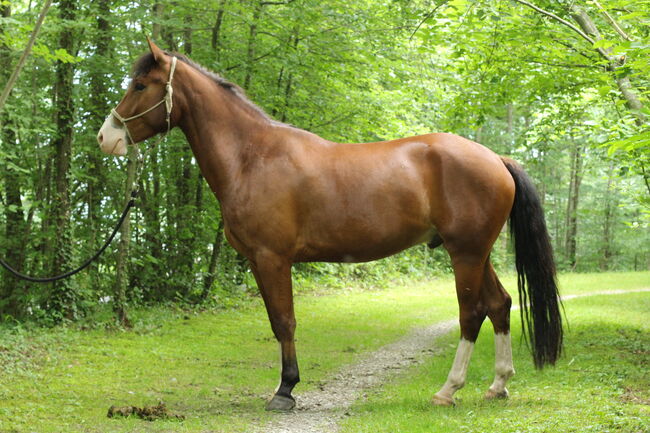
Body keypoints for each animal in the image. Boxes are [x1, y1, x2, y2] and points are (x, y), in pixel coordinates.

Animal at [97, 39, 560, 408]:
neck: (252, 156)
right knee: (499, 305)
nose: (106, 137)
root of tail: (496, 158)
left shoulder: (273, 258)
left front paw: (285, 390)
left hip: (465, 253)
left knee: (472, 313)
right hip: (475, 253)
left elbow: (284, 321)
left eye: (140, 86)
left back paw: (448, 390)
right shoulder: (258, 261)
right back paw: (497, 386)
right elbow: (277, 320)